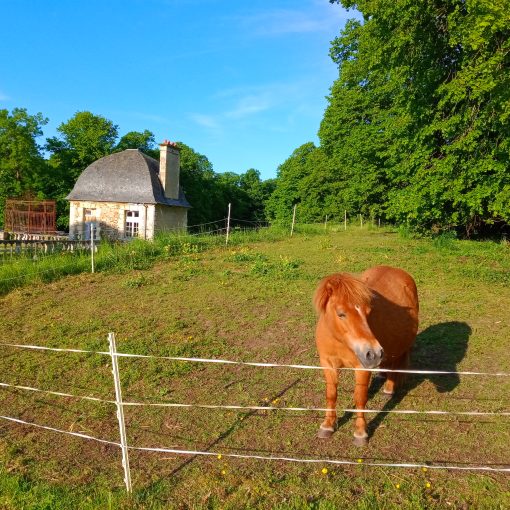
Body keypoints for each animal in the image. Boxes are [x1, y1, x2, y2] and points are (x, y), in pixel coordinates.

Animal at [314, 264, 418, 444]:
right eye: (341, 314)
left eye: (368, 312)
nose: (374, 353)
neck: (339, 341)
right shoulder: (328, 364)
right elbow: (331, 395)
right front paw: (327, 426)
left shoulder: (362, 368)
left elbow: (360, 398)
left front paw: (360, 433)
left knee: (396, 364)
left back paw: (389, 389)